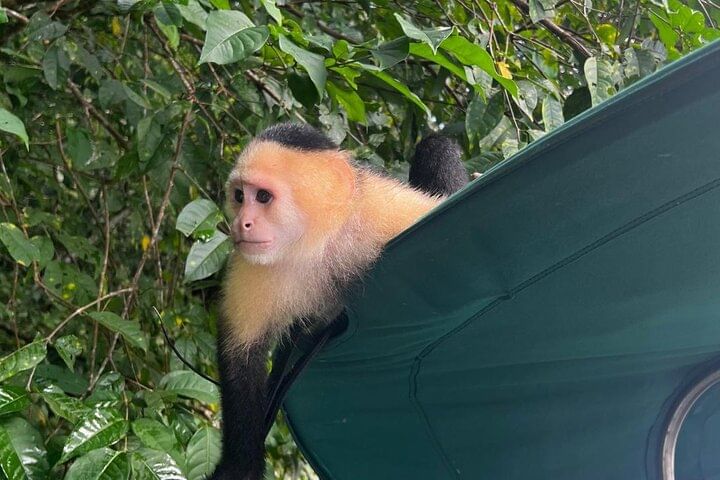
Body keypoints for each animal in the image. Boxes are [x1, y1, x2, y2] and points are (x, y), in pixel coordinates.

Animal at [209, 123, 466, 480]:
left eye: (262, 197)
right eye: (239, 196)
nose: (240, 224)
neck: (320, 242)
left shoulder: (385, 213)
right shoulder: (252, 264)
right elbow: (240, 356)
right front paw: (240, 465)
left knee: (436, 145)